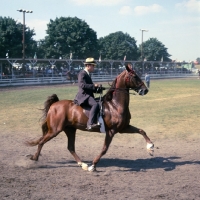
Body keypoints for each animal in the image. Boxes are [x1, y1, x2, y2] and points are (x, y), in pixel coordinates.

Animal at [25, 64, 154, 172]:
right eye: (134, 76)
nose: (145, 90)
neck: (115, 105)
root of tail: (54, 104)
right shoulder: (111, 131)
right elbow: (104, 149)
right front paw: (93, 165)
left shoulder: (123, 128)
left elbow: (141, 131)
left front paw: (151, 147)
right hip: (55, 130)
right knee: (42, 141)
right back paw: (34, 158)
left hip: (70, 129)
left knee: (70, 147)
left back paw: (83, 165)